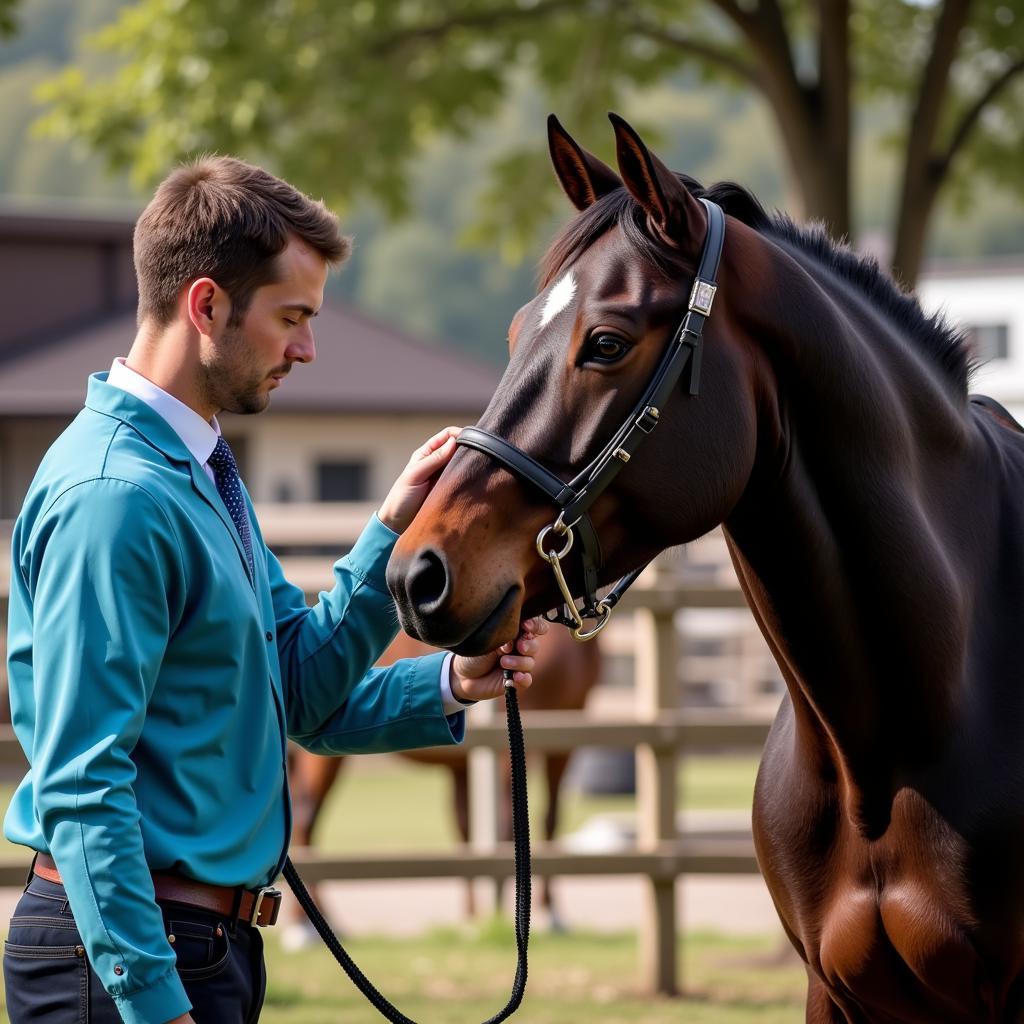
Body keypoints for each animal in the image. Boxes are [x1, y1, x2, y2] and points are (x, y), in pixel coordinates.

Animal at [282, 618, 598, 937]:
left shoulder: (559, 742)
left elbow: (478, 828)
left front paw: (477, 915)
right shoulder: (520, 740)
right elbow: (511, 824)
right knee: (306, 816)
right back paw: (305, 927)